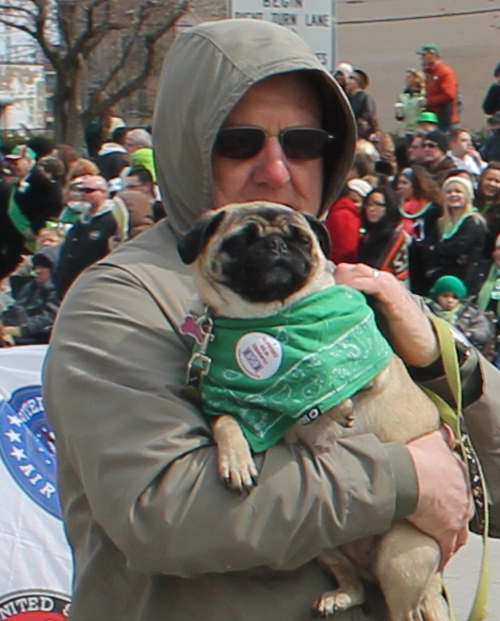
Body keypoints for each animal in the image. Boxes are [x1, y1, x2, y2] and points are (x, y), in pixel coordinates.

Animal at [179, 201, 450, 620]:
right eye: (241, 241)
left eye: (301, 240)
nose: (277, 245)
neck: (270, 320)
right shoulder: (232, 406)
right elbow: (226, 422)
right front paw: (236, 460)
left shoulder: (373, 362)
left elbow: (324, 362)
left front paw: (334, 401)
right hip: (321, 545)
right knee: (354, 583)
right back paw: (340, 596)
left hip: (399, 557)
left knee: (403, 607)